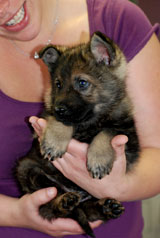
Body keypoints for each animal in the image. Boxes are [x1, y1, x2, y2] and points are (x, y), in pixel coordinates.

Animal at [15, 32, 139, 238]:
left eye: (82, 83)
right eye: (58, 84)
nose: (59, 108)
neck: (89, 123)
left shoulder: (129, 137)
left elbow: (107, 131)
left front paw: (98, 160)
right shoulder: (49, 114)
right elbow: (60, 122)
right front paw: (54, 142)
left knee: (89, 211)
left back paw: (106, 208)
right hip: (28, 169)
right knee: (51, 205)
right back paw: (65, 201)